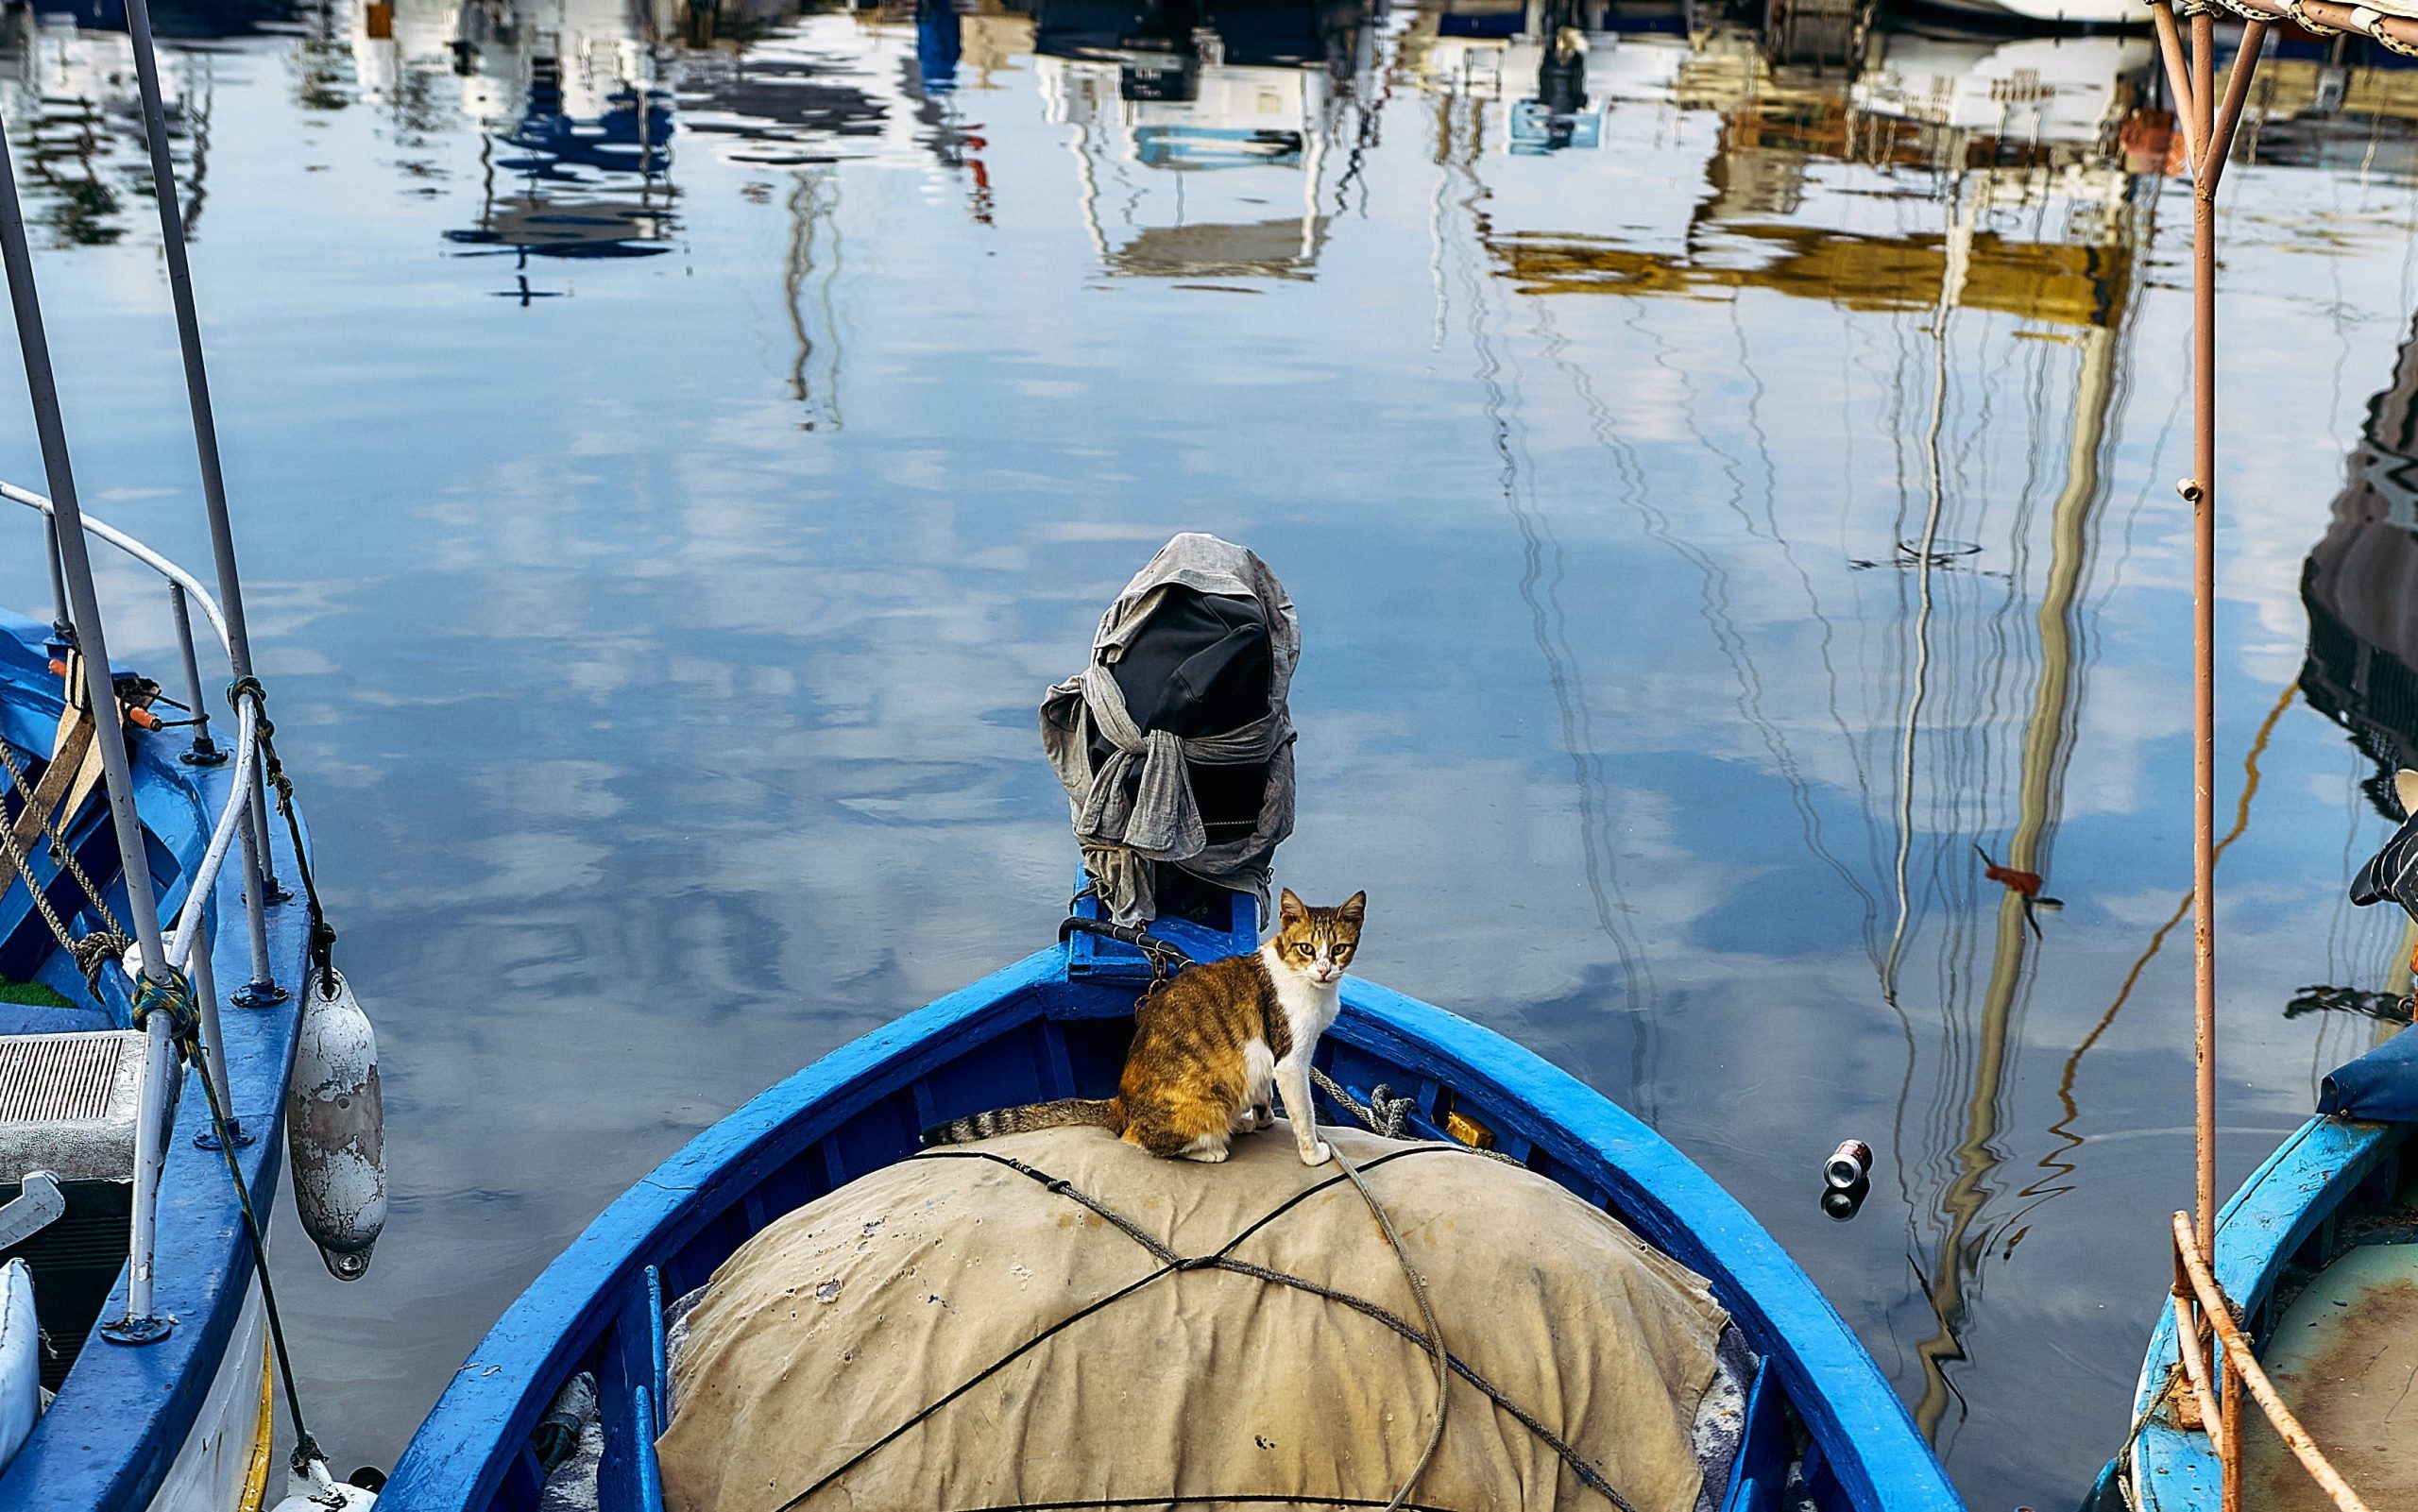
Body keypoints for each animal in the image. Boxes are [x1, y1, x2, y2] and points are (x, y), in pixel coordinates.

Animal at [918, 885, 1373, 1165]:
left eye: (1339, 948)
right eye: (1307, 948)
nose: (1324, 969)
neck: (1307, 984)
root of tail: (1120, 1103)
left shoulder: (1270, 1064)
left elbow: (1264, 1096)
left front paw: (1260, 1119)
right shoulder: (1291, 1061)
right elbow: (1304, 1114)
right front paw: (1312, 1153)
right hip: (1202, 1103)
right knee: (1140, 1139)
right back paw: (1212, 1147)